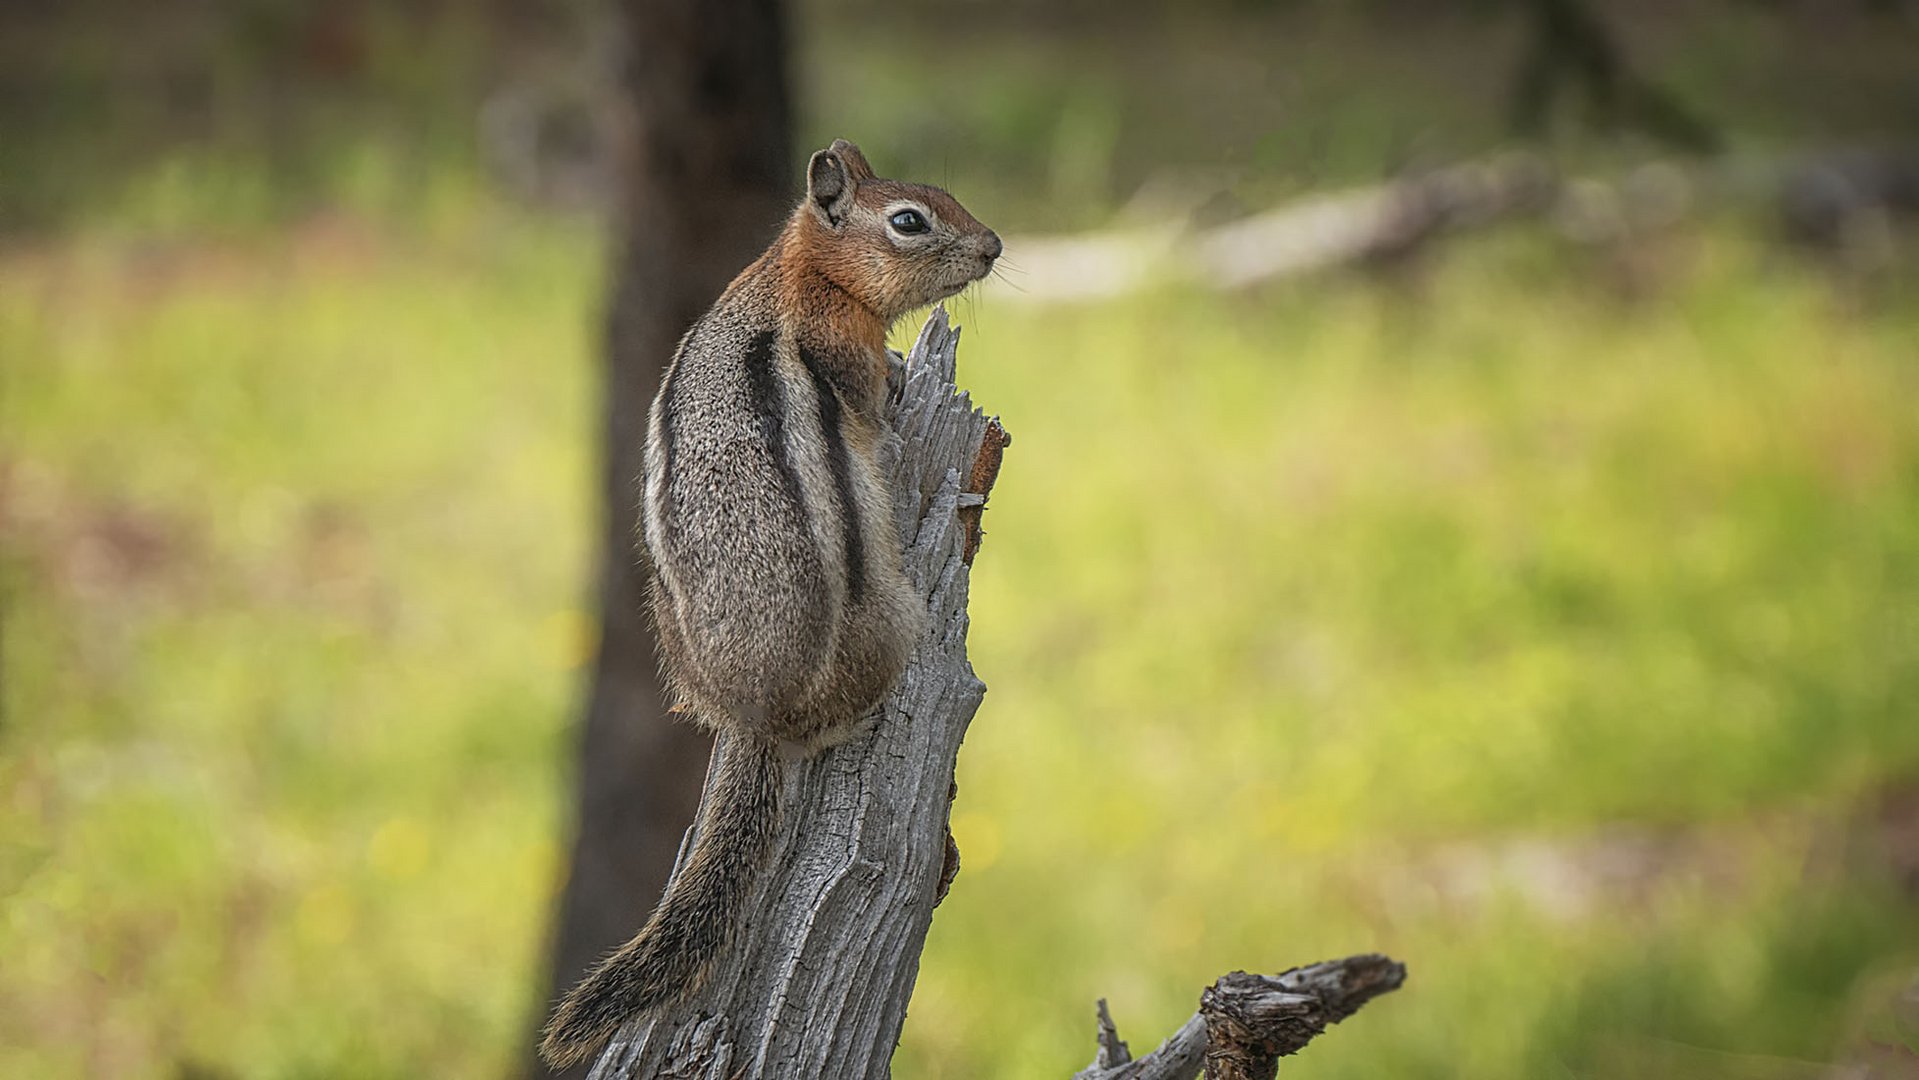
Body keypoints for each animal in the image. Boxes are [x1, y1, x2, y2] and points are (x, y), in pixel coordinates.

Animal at [541, 139, 1005, 1066]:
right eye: (910, 220)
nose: (994, 247)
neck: (798, 271)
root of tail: (751, 714)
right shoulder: (846, 355)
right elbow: (878, 411)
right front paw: (900, 390)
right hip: (891, 620)